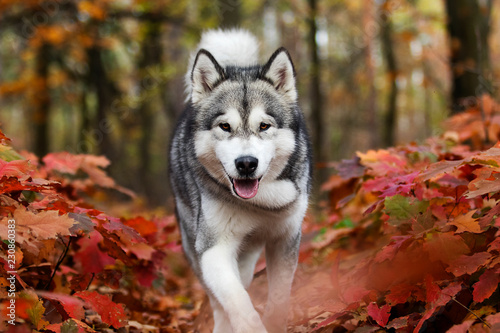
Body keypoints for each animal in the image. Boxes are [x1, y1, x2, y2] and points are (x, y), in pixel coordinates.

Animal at [170, 29, 310, 332]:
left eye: (264, 126)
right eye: (225, 126)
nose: (246, 163)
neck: (261, 204)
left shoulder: (286, 239)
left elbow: (279, 296)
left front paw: (275, 322)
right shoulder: (213, 249)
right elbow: (236, 302)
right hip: (195, 246)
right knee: (219, 300)